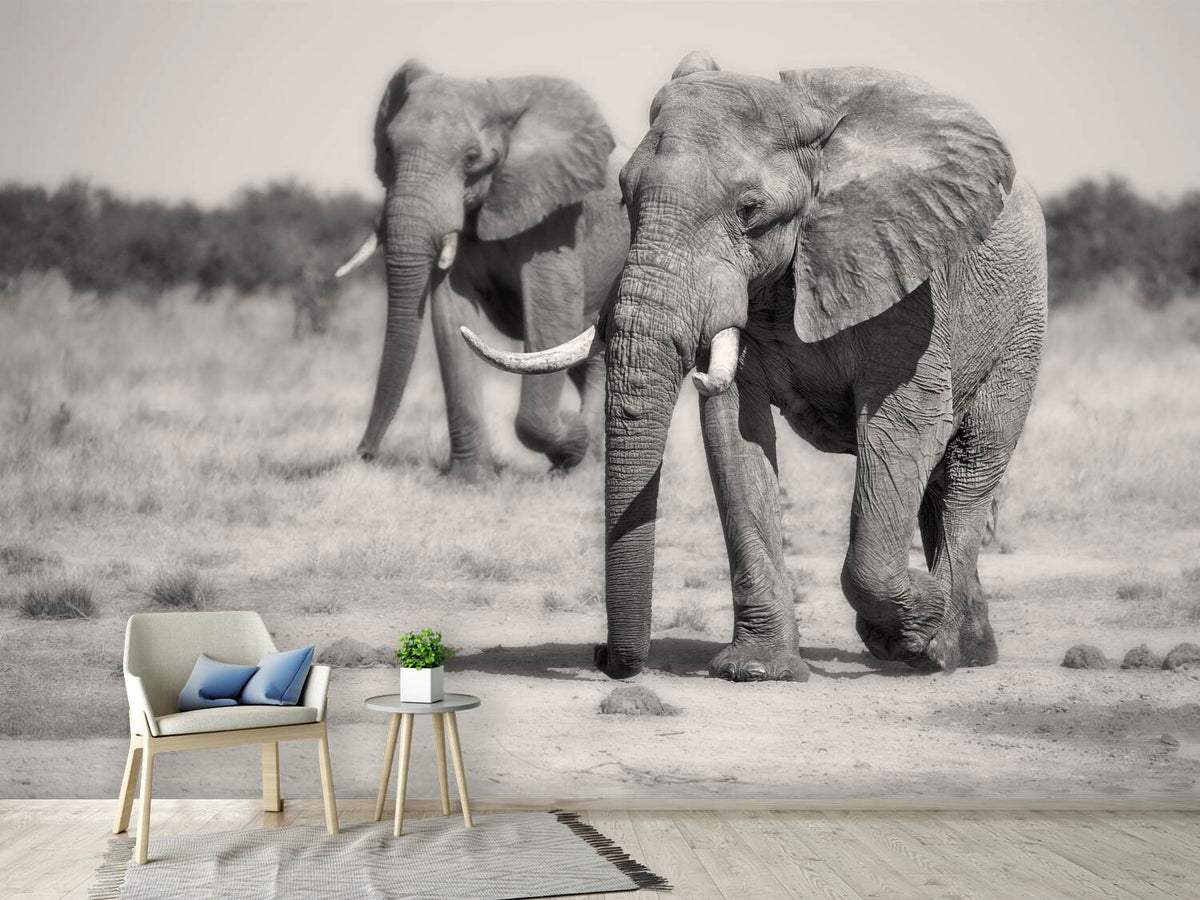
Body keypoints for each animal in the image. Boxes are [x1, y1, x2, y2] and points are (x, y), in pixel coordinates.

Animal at [338, 60, 629, 479]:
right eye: (389, 150)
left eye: (472, 158)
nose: (364, 453)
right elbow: (450, 317)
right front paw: (469, 480)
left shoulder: (557, 217)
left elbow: (550, 313)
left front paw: (574, 439)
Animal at [464, 52, 1047, 682]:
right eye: (624, 200)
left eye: (750, 211)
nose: (603, 657)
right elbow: (734, 431)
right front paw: (758, 669)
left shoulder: (910, 289)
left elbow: (902, 424)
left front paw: (917, 622)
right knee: (940, 482)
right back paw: (961, 644)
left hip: (1020, 324)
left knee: (969, 465)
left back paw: (943, 649)